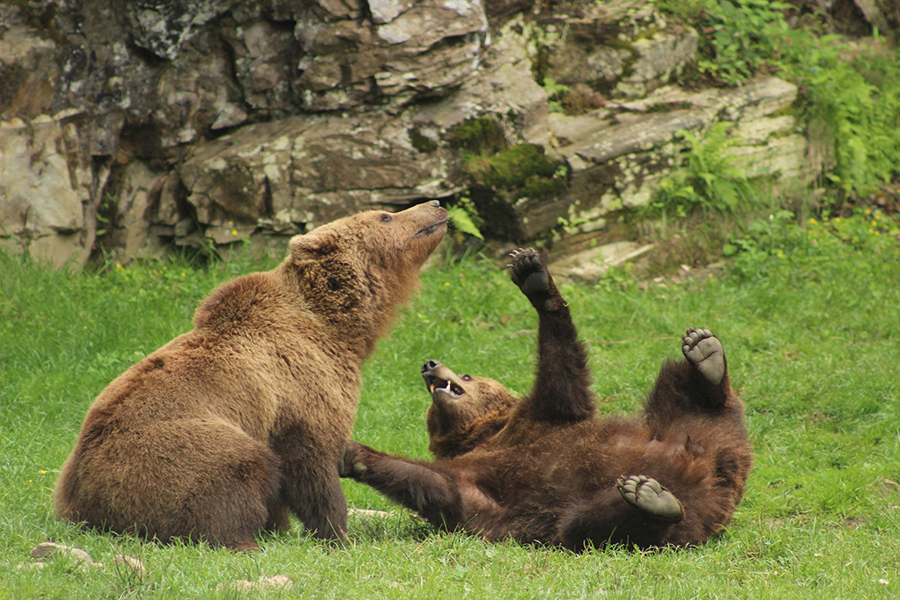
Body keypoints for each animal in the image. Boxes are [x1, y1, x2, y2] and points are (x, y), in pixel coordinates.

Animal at [54, 200, 448, 548]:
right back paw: (243, 540)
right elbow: (311, 466)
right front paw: (336, 532)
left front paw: (285, 527)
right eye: (385, 216)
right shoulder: (299, 388)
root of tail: (80, 507)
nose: (437, 204)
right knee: (234, 469)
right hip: (164, 454)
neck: (337, 326)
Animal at [342, 250, 752, 552]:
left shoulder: (544, 414)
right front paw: (355, 454)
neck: (487, 434)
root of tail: (715, 487)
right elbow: (443, 488)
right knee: (591, 524)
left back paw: (705, 357)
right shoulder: (480, 478)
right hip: (599, 507)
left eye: (469, 376)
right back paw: (652, 499)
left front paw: (535, 280)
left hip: (684, 428)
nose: (429, 364)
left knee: (681, 392)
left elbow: (562, 377)